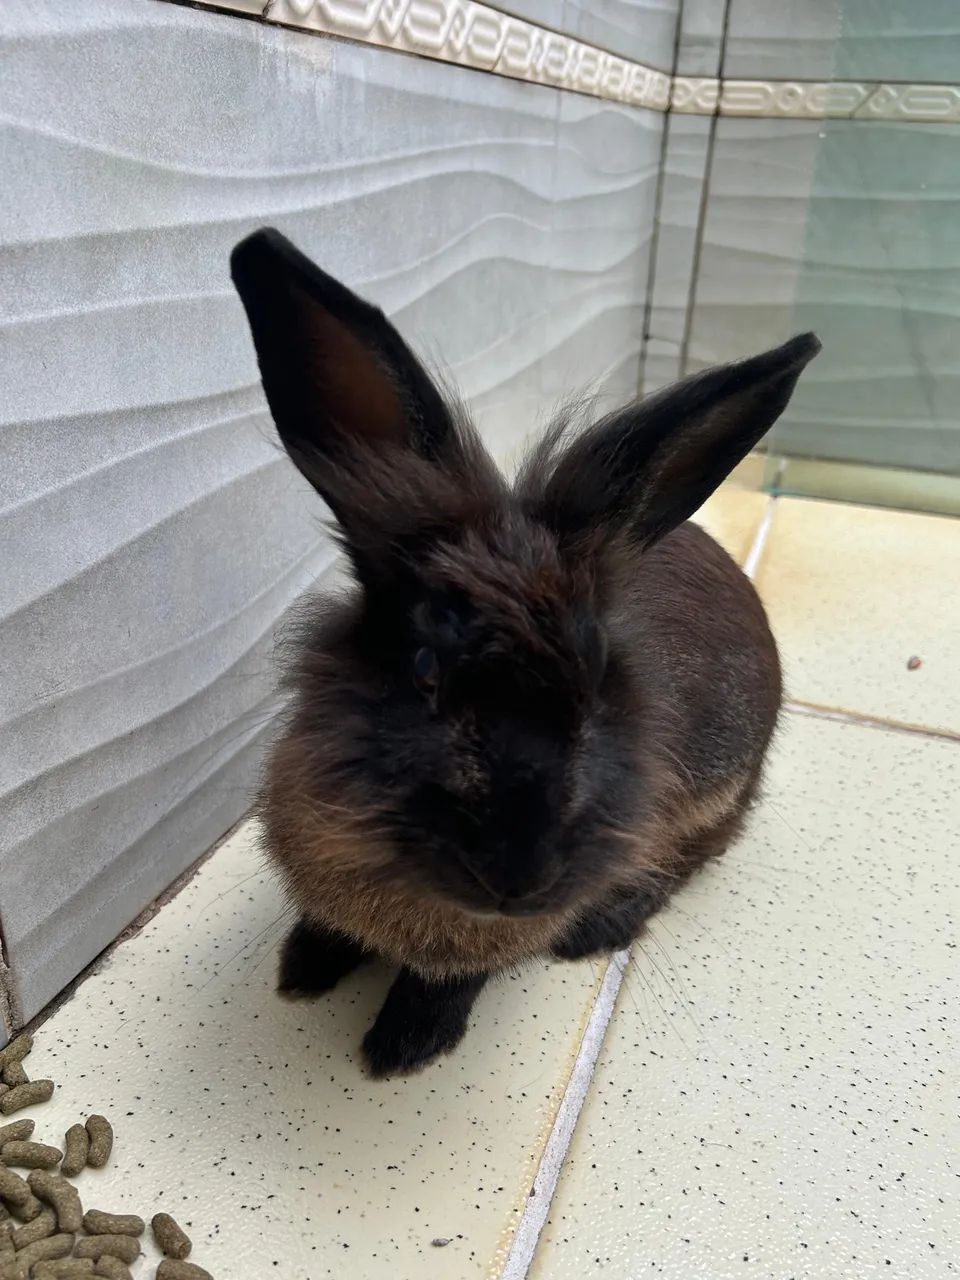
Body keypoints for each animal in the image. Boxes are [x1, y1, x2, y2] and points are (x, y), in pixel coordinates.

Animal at [230, 228, 820, 1077]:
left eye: (599, 675)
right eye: (424, 669)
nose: (520, 878)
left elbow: (449, 981)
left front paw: (401, 1049)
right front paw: (301, 972)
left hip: (716, 791)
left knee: (697, 854)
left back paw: (598, 929)